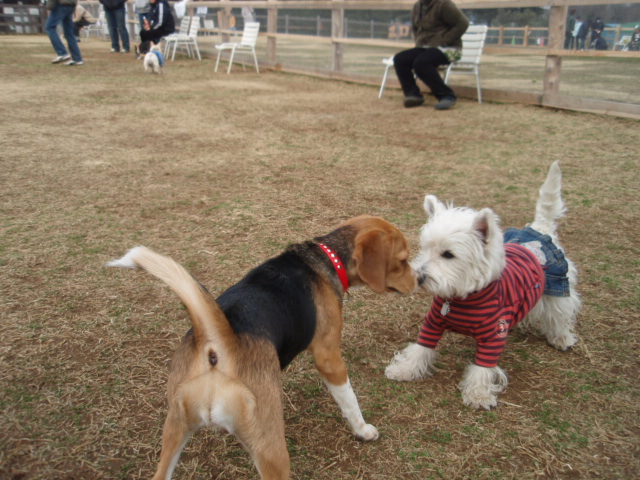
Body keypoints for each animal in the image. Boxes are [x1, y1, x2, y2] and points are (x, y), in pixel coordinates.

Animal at [384, 163, 580, 410]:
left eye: (448, 255)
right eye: (425, 248)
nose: (418, 277)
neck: (462, 298)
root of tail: (539, 229)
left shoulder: (493, 335)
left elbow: (482, 368)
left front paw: (478, 395)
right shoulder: (433, 322)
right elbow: (420, 348)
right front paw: (404, 370)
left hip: (557, 286)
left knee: (560, 314)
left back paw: (562, 338)